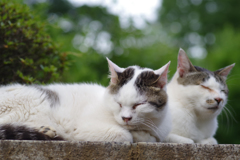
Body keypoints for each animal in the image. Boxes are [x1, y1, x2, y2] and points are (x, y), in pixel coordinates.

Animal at [0, 58, 172, 142]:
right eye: (118, 103)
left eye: (139, 104)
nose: (126, 118)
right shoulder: (81, 129)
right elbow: (126, 135)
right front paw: (139, 136)